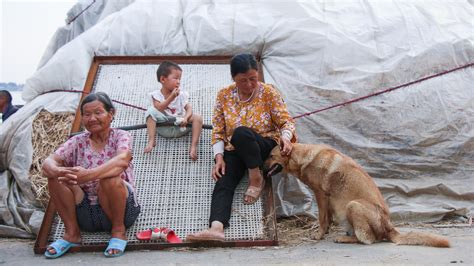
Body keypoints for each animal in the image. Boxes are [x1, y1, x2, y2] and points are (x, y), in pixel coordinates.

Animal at [264, 143, 450, 247]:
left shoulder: (321, 195)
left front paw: (319, 235)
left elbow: (323, 219)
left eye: (271, 156)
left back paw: (344, 238)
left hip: (352, 205)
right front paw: (325, 231)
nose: (261, 166)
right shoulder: (328, 199)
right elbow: (328, 218)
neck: (303, 157)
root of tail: (389, 227)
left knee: (368, 239)